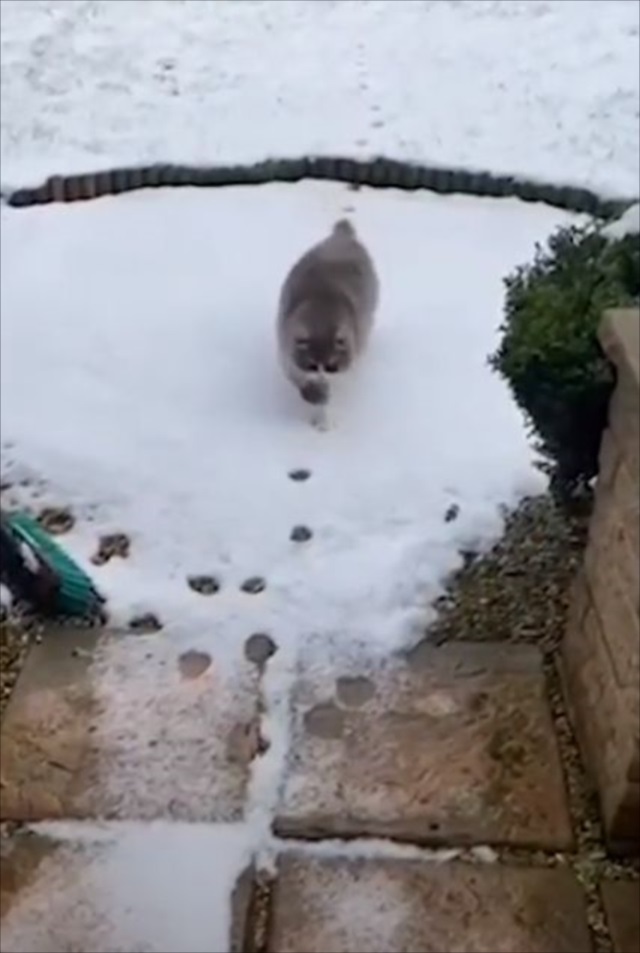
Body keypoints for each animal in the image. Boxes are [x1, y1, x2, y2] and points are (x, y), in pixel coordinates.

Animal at [276, 219, 378, 428]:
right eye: (313, 366)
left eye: (331, 366)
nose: (323, 381)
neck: (321, 314)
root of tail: (342, 237)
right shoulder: (285, 336)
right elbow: (292, 372)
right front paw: (312, 394)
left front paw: (322, 416)